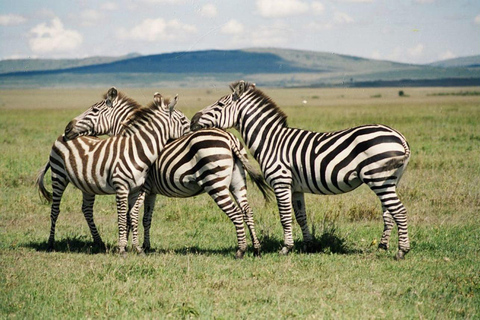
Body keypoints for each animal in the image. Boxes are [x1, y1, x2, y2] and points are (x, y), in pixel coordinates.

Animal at [36, 88, 189, 255]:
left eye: (94, 110)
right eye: (183, 120)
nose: (68, 128)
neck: (136, 149)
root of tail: (60, 137)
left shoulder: (138, 189)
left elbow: (133, 216)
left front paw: (136, 247)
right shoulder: (124, 188)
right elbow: (123, 216)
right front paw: (123, 247)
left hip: (87, 184)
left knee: (87, 209)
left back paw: (98, 242)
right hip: (58, 176)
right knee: (55, 210)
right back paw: (51, 244)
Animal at [65, 92, 272, 258]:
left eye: (94, 110)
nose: (67, 128)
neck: (134, 144)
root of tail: (229, 137)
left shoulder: (142, 187)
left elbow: (131, 216)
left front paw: (130, 246)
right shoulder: (151, 192)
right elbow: (146, 218)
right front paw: (144, 246)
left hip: (215, 182)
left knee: (236, 213)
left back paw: (240, 250)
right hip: (238, 182)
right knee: (247, 211)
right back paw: (256, 249)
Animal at [189, 80, 410, 260]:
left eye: (219, 105)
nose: (193, 120)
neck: (271, 141)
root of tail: (399, 136)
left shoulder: (281, 182)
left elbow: (285, 216)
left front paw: (286, 248)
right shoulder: (296, 188)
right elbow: (301, 216)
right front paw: (308, 245)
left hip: (378, 178)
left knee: (399, 211)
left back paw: (402, 251)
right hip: (389, 180)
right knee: (389, 213)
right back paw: (383, 246)